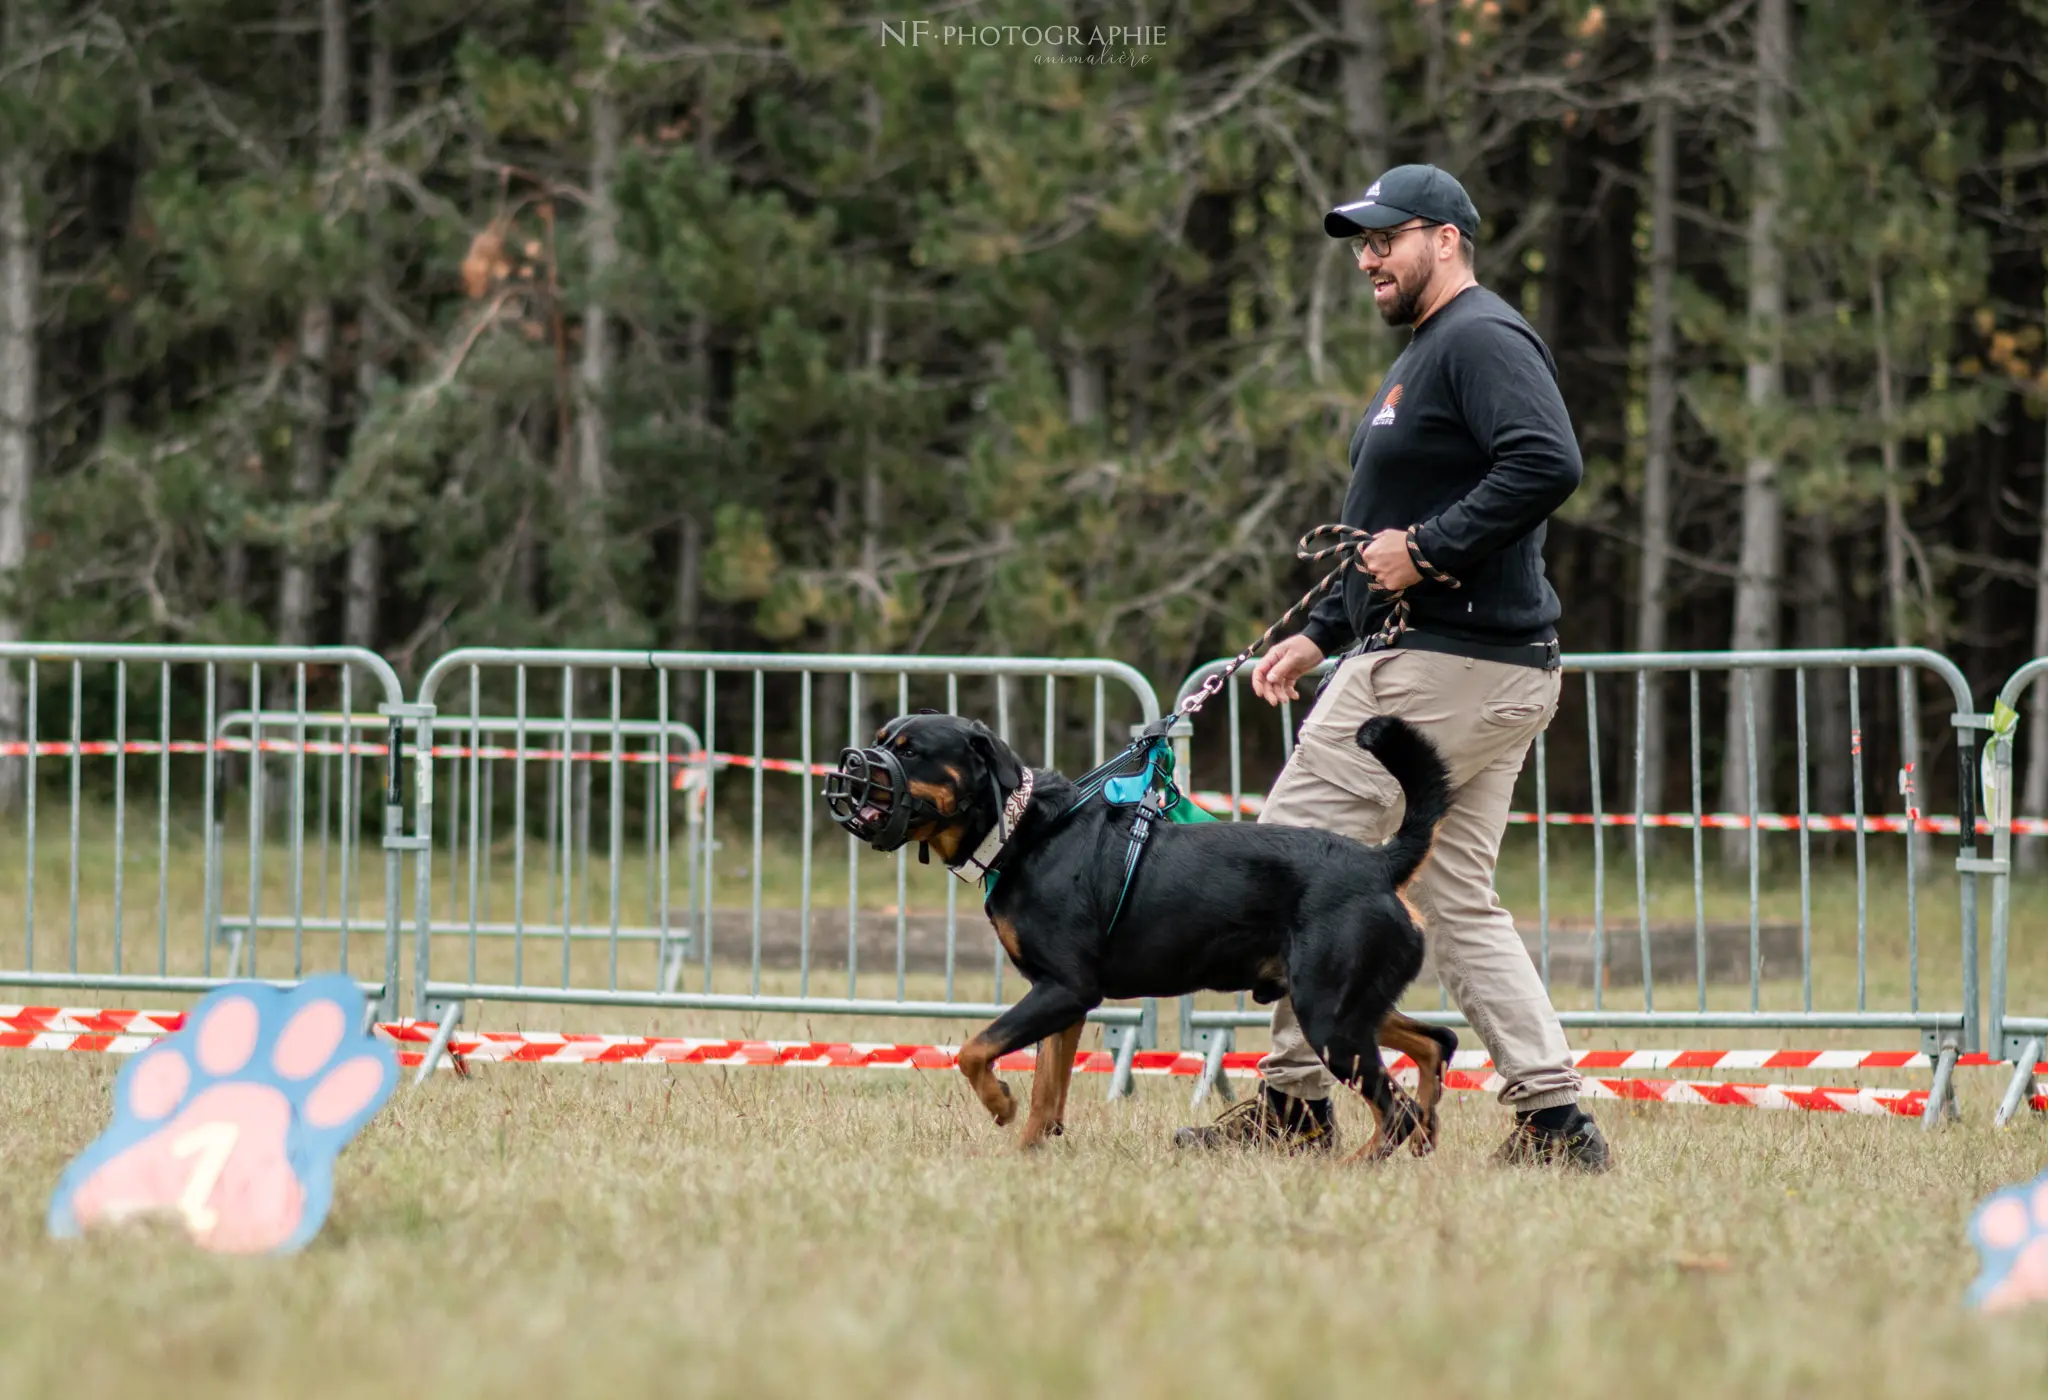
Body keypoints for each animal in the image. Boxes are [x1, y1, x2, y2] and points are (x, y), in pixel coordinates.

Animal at [823, 712, 1466, 1162]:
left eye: (912, 751)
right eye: (883, 739)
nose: (846, 767)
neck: (1022, 831)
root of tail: (1380, 864)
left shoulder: (1064, 988)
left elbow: (976, 1049)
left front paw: (1000, 1104)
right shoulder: (1061, 1000)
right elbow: (1048, 1087)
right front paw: (1030, 1150)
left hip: (1329, 1014)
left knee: (1394, 1108)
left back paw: (1353, 1166)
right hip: (1344, 1003)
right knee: (1436, 1043)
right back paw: (1425, 1141)